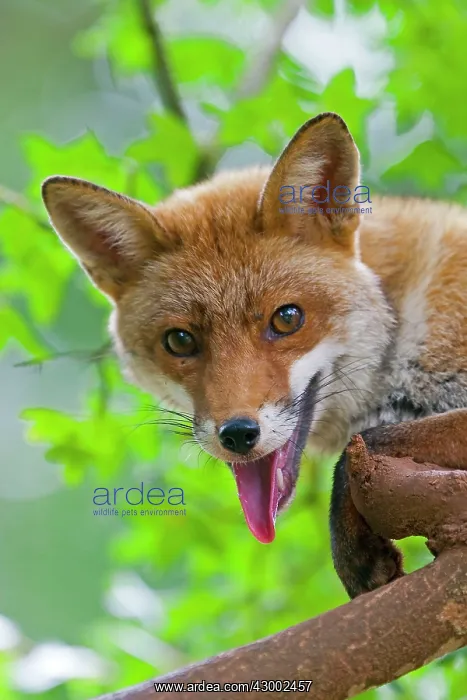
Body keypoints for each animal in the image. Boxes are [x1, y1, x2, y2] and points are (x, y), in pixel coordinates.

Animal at [41, 112, 467, 599]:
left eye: (287, 318)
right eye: (180, 341)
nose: (238, 435)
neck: (405, 320)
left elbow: (367, 442)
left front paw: (352, 549)